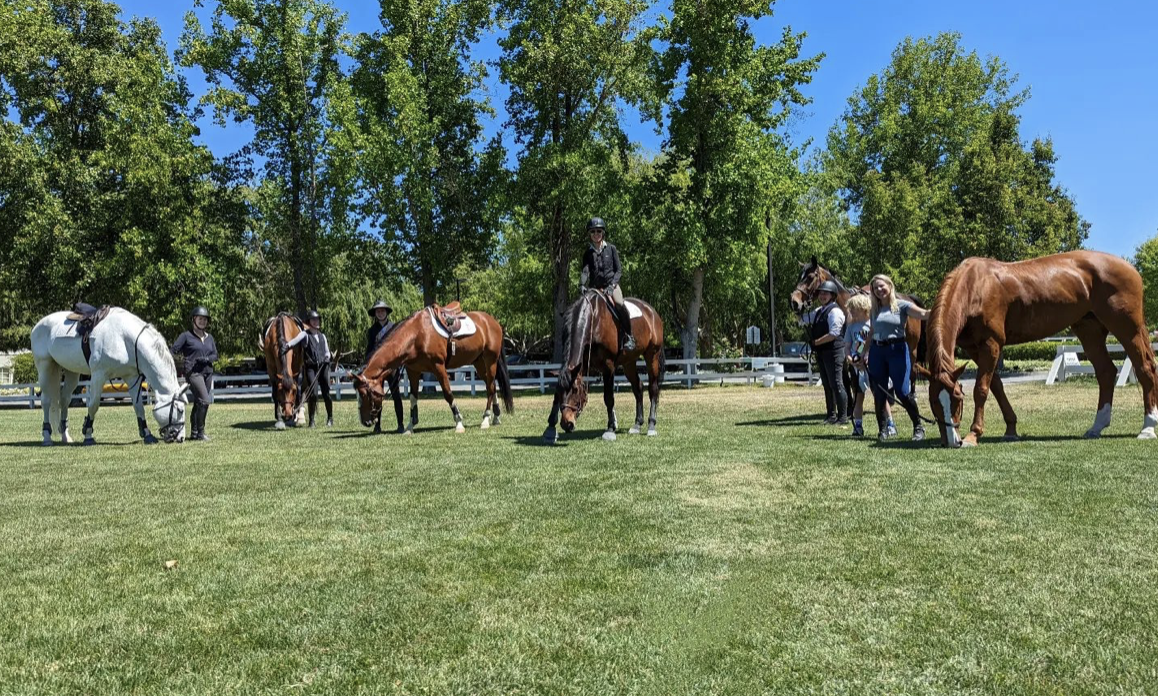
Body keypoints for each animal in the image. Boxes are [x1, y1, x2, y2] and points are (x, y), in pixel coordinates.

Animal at [31, 308, 188, 444]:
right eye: (180, 410)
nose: (180, 437)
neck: (125, 339)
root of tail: (38, 325)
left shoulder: (132, 377)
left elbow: (138, 406)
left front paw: (147, 434)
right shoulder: (98, 375)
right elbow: (93, 405)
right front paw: (88, 434)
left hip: (71, 372)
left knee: (64, 401)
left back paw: (65, 436)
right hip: (45, 367)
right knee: (46, 401)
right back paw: (47, 437)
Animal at [349, 305, 514, 435]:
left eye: (363, 394)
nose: (365, 422)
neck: (417, 335)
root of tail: (493, 322)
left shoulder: (438, 367)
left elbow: (448, 394)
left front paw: (459, 423)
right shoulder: (413, 371)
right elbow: (413, 397)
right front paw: (410, 426)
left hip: (490, 361)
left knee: (490, 387)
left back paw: (485, 419)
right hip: (478, 363)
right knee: (491, 386)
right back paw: (496, 417)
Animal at [539, 289, 662, 444]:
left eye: (575, 390)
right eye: (562, 390)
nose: (567, 423)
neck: (592, 320)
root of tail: (651, 311)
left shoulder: (608, 367)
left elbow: (608, 397)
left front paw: (610, 429)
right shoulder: (579, 365)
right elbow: (556, 396)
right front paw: (550, 428)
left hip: (652, 356)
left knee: (653, 389)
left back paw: (651, 425)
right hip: (629, 362)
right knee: (638, 387)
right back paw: (637, 424)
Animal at [921, 252, 1158, 447]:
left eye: (957, 398)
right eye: (933, 401)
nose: (952, 441)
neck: (975, 286)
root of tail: (1130, 268)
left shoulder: (991, 344)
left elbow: (981, 388)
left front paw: (973, 435)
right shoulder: (974, 348)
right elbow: (996, 385)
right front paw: (1011, 429)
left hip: (1128, 327)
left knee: (1145, 367)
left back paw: (1147, 427)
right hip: (1089, 330)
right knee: (1106, 372)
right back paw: (1096, 426)